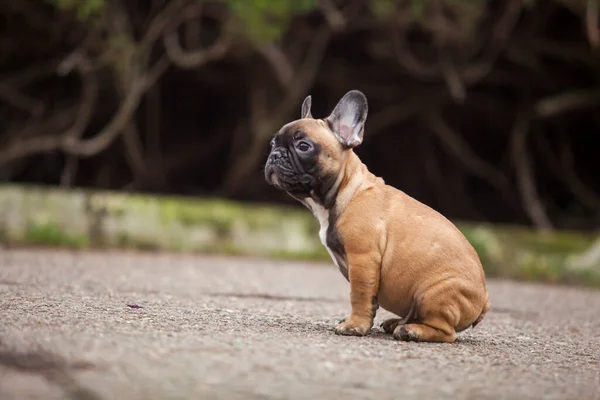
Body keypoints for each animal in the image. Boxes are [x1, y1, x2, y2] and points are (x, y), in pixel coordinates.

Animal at [264, 90, 490, 344]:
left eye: (303, 146)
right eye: (273, 144)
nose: (274, 155)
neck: (346, 191)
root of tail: (484, 300)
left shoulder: (363, 259)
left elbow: (359, 295)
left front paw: (354, 326)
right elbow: (369, 300)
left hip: (433, 292)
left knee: (446, 332)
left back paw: (411, 330)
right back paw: (398, 322)